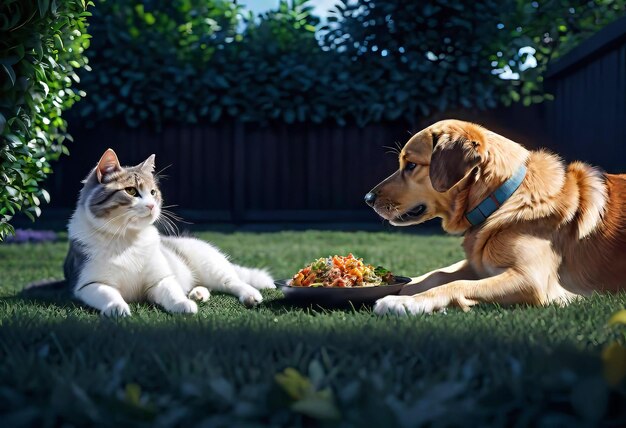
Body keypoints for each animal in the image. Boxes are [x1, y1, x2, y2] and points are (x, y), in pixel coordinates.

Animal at [62, 149, 272, 316]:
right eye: (131, 191)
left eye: (153, 192)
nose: (152, 206)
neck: (127, 238)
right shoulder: (88, 284)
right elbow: (108, 293)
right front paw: (117, 307)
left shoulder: (161, 279)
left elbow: (172, 292)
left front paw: (183, 304)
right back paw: (198, 294)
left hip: (211, 265)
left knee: (233, 281)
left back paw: (250, 295)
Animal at [366, 118, 624, 314]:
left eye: (411, 165)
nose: (368, 198)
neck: (503, 198)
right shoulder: (477, 264)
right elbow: (436, 274)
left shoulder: (531, 280)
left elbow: (456, 284)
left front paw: (404, 302)